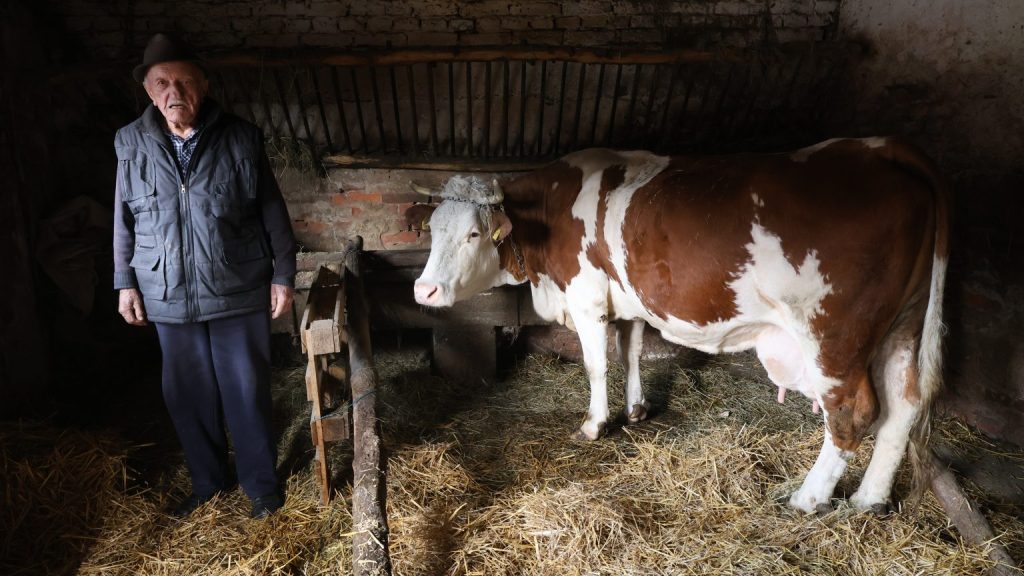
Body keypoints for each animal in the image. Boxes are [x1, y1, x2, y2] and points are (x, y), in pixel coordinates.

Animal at [405, 137, 949, 514]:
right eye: (433, 229)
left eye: (474, 234)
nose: (424, 291)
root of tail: (876, 147)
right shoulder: (628, 302)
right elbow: (630, 352)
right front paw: (637, 409)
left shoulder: (586, 298)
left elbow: (596, 364)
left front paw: (594, 424)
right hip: (902, 325)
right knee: (903, 405)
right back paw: (869, 499)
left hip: (833, 335)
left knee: (853, 412)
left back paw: (808, 497)